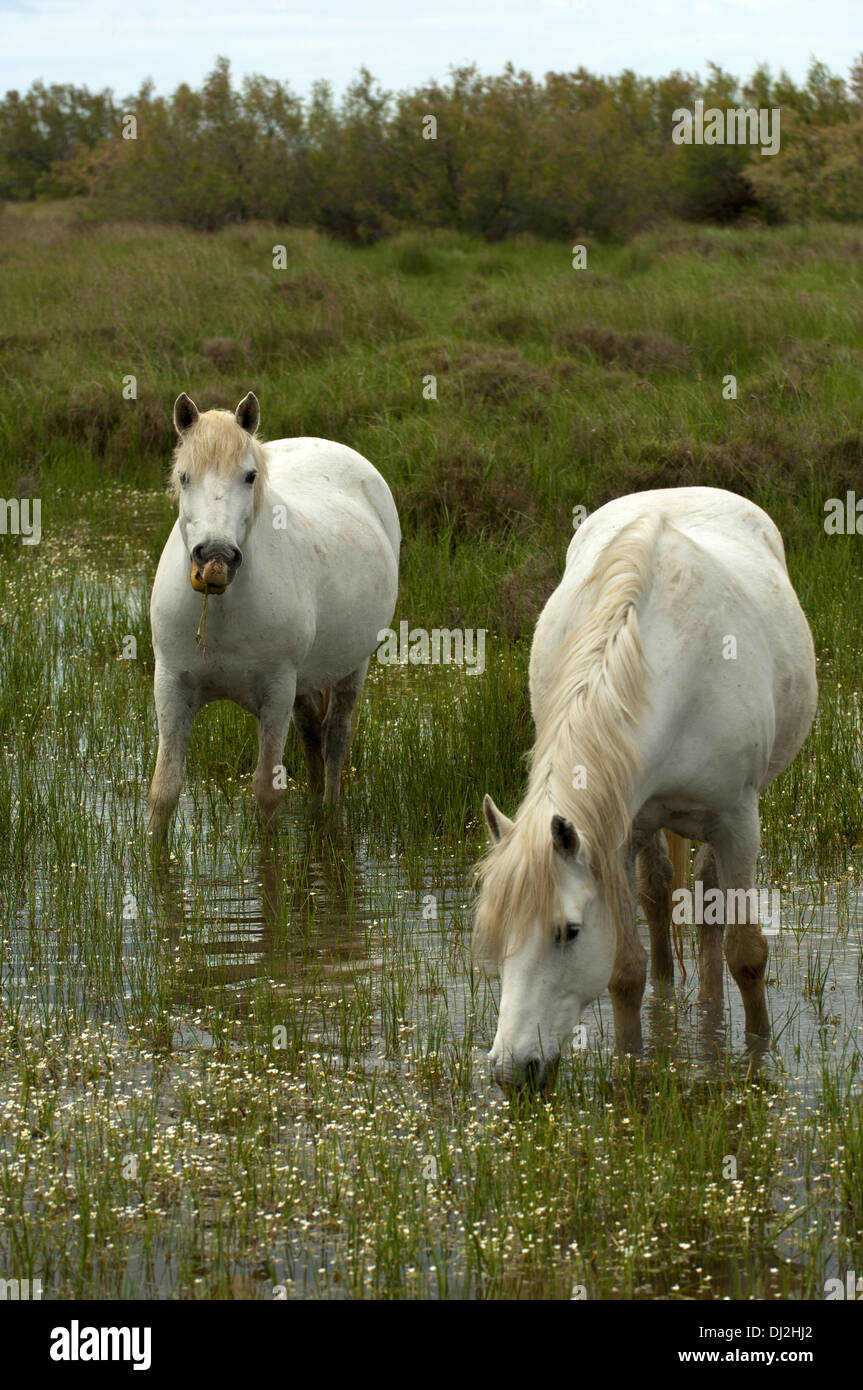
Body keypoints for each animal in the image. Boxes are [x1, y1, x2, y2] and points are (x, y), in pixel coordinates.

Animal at [147, 391, 400, 834]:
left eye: (250, 476)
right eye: (183, 476)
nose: (216, 556)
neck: (224, 611)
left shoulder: (277, 691)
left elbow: (267, 791)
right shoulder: (171, 686)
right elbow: (165, 790)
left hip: (353, 666)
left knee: (335, 736)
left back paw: (329, 810)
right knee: (312, 732)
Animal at [475, 483, 817, 1089]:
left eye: (568, 932)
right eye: (499, 934)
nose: (512, 1070)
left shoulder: (739, 824)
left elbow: (747, 954)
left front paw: (757, 1056)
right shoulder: (615, 833)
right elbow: (624, 972)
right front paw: (633, 1068)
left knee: (707, 902)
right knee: (659, 897)